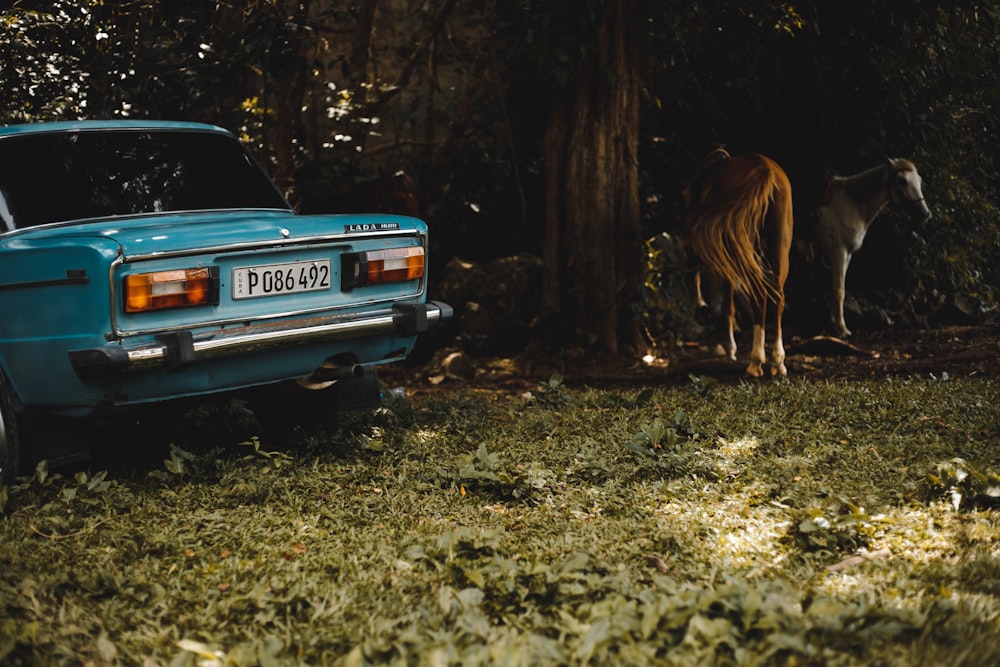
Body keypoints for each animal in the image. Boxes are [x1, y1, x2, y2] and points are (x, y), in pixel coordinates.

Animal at [684, 151, 792, 378]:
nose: (701, 311)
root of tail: (764, 168)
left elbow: (728, 305)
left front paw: (730, 348)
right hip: (779, 247)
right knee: (777, 296)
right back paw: (777, 362)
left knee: (759, 295)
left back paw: (755, 362)